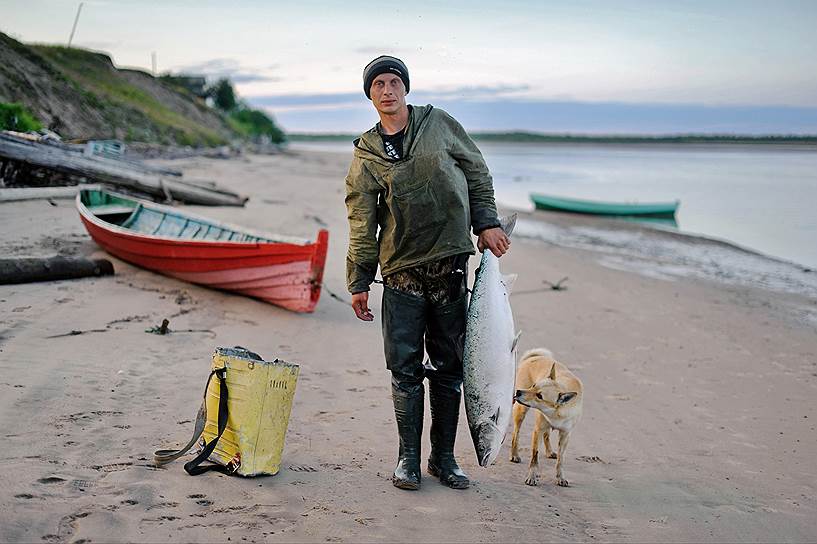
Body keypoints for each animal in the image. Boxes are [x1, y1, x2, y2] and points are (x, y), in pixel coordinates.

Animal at [510, 350, 580, 486]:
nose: (518, 392)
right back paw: (514, 455)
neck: (555, 413)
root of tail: (535, 356)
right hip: (521, 411)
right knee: (516, 434)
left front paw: (560, 478)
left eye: (539, 396)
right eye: (533, 385)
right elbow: (534, 456)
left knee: (547, 435)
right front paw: (532, 477)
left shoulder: (565, 435)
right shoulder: (538, 430)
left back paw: (549, 452)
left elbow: (560, 459)